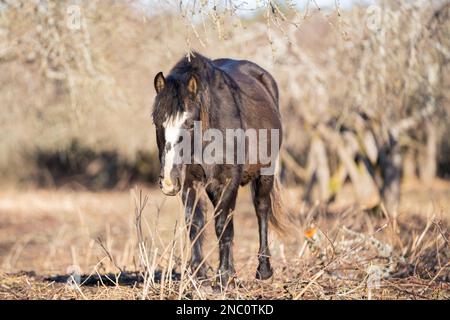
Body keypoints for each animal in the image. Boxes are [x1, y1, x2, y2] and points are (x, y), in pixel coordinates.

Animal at [151, 52, 284, 288]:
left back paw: (263, 270)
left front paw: (223, 276)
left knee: (261, 210)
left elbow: (222, 226)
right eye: (157, 123)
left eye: (188, 124)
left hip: (266, 173)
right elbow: (195, 224)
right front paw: (199, 274)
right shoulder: (190, 182)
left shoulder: (228, 180)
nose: (168, 182)